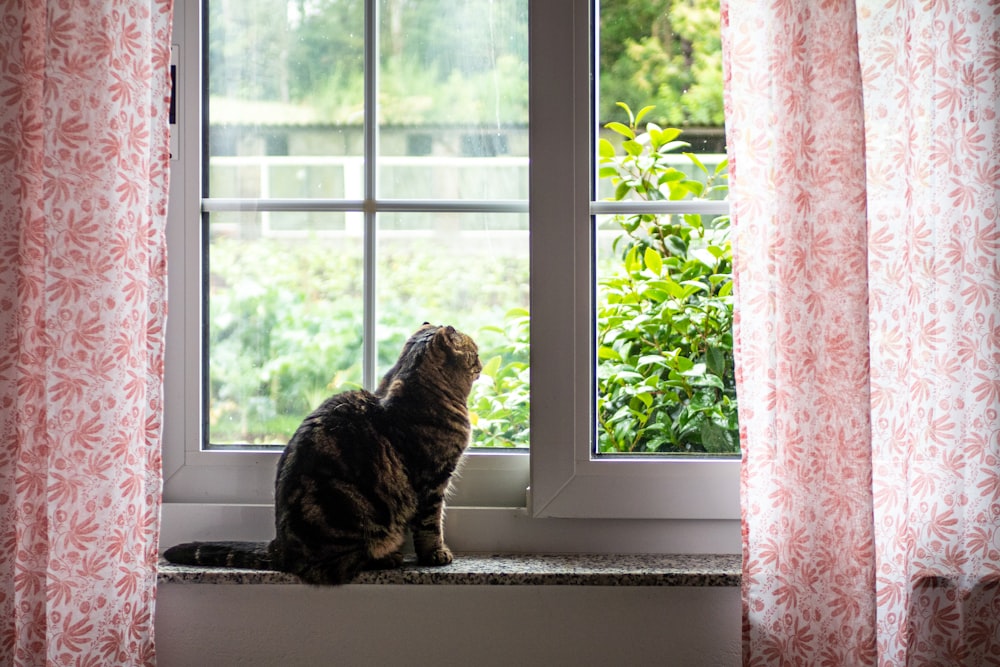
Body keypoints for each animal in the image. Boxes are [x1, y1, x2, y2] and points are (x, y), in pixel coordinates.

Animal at [162, 324, 482, 584]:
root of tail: (279, 546)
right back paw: (388, 557)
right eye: (475, 352)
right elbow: (430, 525)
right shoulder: (433, 481)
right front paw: (436, 554)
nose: (481, 362)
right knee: (347, 562)